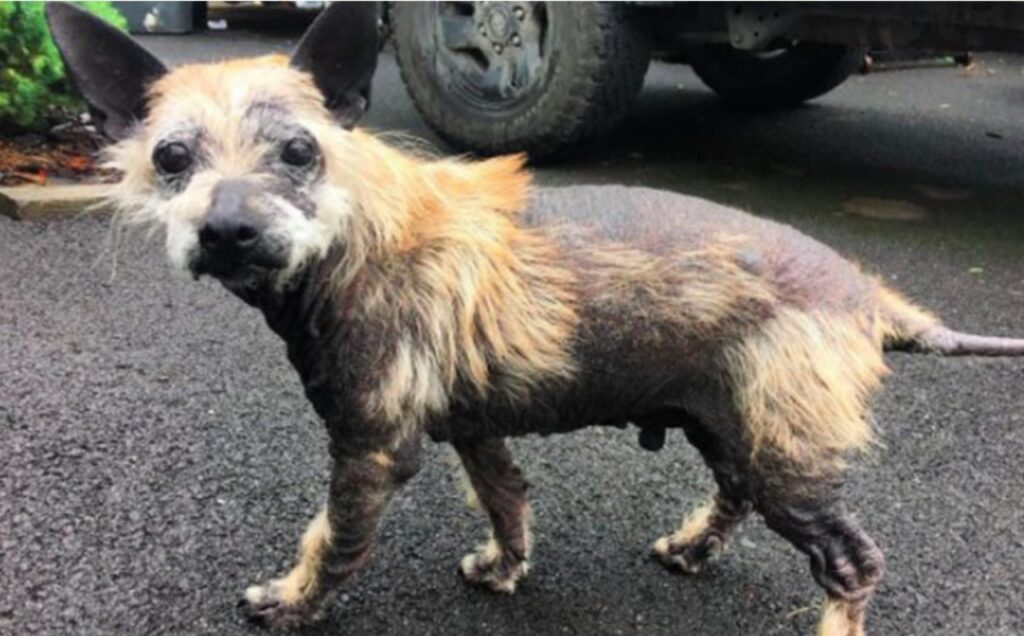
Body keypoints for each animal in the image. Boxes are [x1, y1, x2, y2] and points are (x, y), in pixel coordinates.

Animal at [48, 4, 1024, 634]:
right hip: (734, 425)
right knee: (738, 492)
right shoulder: (473, 425)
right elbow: (507, 500)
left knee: (854, 562)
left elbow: (333, 539)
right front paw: (506, 568)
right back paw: (691, 547)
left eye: (298, 151)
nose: (227, 230)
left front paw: (291, 601)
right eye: (171, 158)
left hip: (785, 456)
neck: (352, 236)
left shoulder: (373, 448)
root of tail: (867, 292)